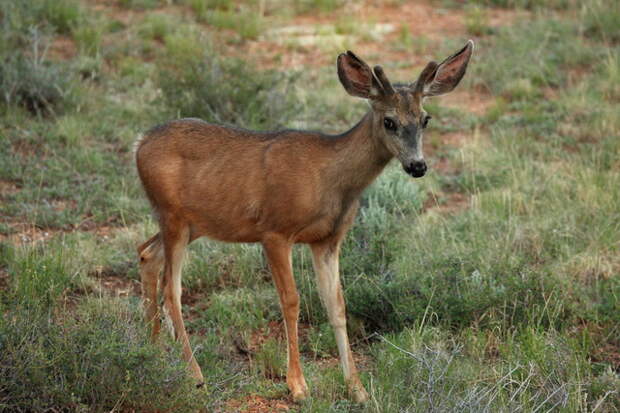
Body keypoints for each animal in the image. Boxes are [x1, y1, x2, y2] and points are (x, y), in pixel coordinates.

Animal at [136, 40, 474, 400]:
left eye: (425, 119)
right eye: (389, 121)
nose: (417, 166)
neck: (331, 179)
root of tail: (139, 144)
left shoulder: (327, 240)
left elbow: (336, 305)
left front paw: (357, 388)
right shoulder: (275, 231)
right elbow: (291, 301)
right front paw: (297, 385)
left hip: (191, 223)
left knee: (147, 253)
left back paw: (153, 353)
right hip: (173, 215)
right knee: (172, 290)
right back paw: (195, 375)